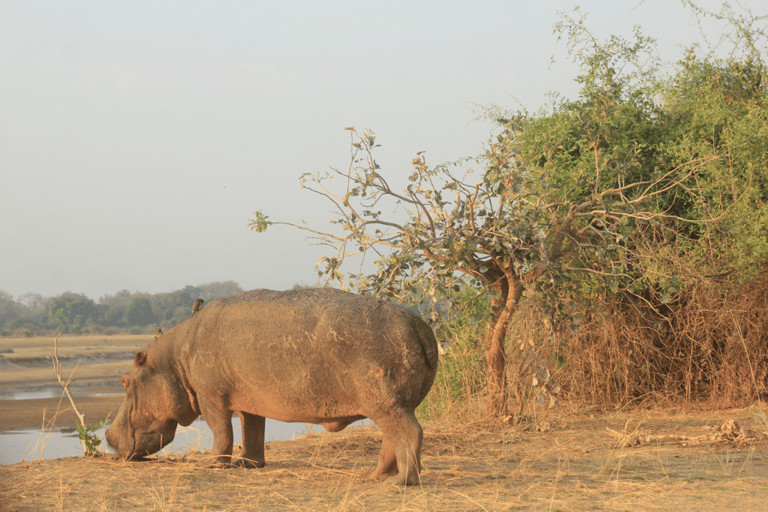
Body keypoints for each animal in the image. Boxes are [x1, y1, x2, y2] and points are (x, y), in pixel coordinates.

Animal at [105, 288, 438, 485]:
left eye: (123, 381)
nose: (107, 436)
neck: (174, 357)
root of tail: (419, 325)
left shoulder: (211, 398)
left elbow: (221, 432)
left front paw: (210, 465)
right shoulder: (248, 400)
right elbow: (252, 431)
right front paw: (248, 465)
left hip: (386, 402)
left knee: (410, 433)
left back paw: (401, 481)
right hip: (391, 404)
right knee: (392, 438)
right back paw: (376, 476)